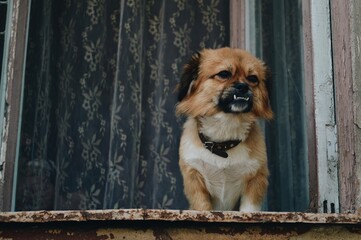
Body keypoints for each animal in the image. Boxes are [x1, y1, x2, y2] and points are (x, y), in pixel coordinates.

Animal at [176, 47, 272, 212]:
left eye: (253, 78)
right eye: (224, 74)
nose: (243, 86)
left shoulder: (256, 178)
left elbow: (249, 210)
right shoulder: (194, 177)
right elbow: (203, 207)